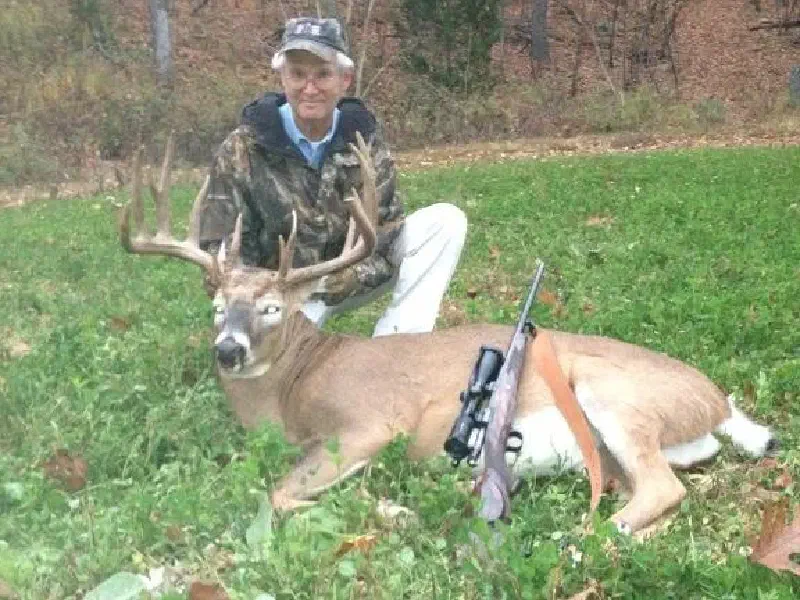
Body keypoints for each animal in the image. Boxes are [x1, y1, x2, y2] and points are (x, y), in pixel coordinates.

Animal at [119, 133, 778, 535]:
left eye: (272, 308)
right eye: (217, 307)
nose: (228, 349)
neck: (291, 393)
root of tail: (718, 403)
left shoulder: (369, 423)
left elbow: (278, 494)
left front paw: (394, 510)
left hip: (616, 395)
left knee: (662, 489)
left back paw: (585, 537)